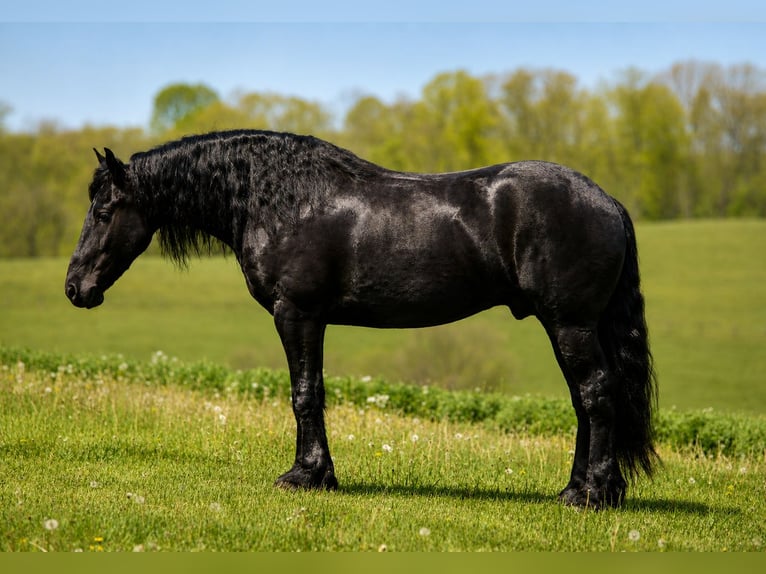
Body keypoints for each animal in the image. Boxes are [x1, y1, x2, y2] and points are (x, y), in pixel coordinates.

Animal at [65, 129, 657, 508]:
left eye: (103, 211)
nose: (75, 288)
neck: (281, 201)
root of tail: (607, 202)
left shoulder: (297, 315)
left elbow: (305, 394)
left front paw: (306, 476)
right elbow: (314, 392)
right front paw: (319, 474)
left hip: (570, 324)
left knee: (596, 394)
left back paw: (590, 494)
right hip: (571, 327)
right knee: (585, 401)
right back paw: (579, 488)